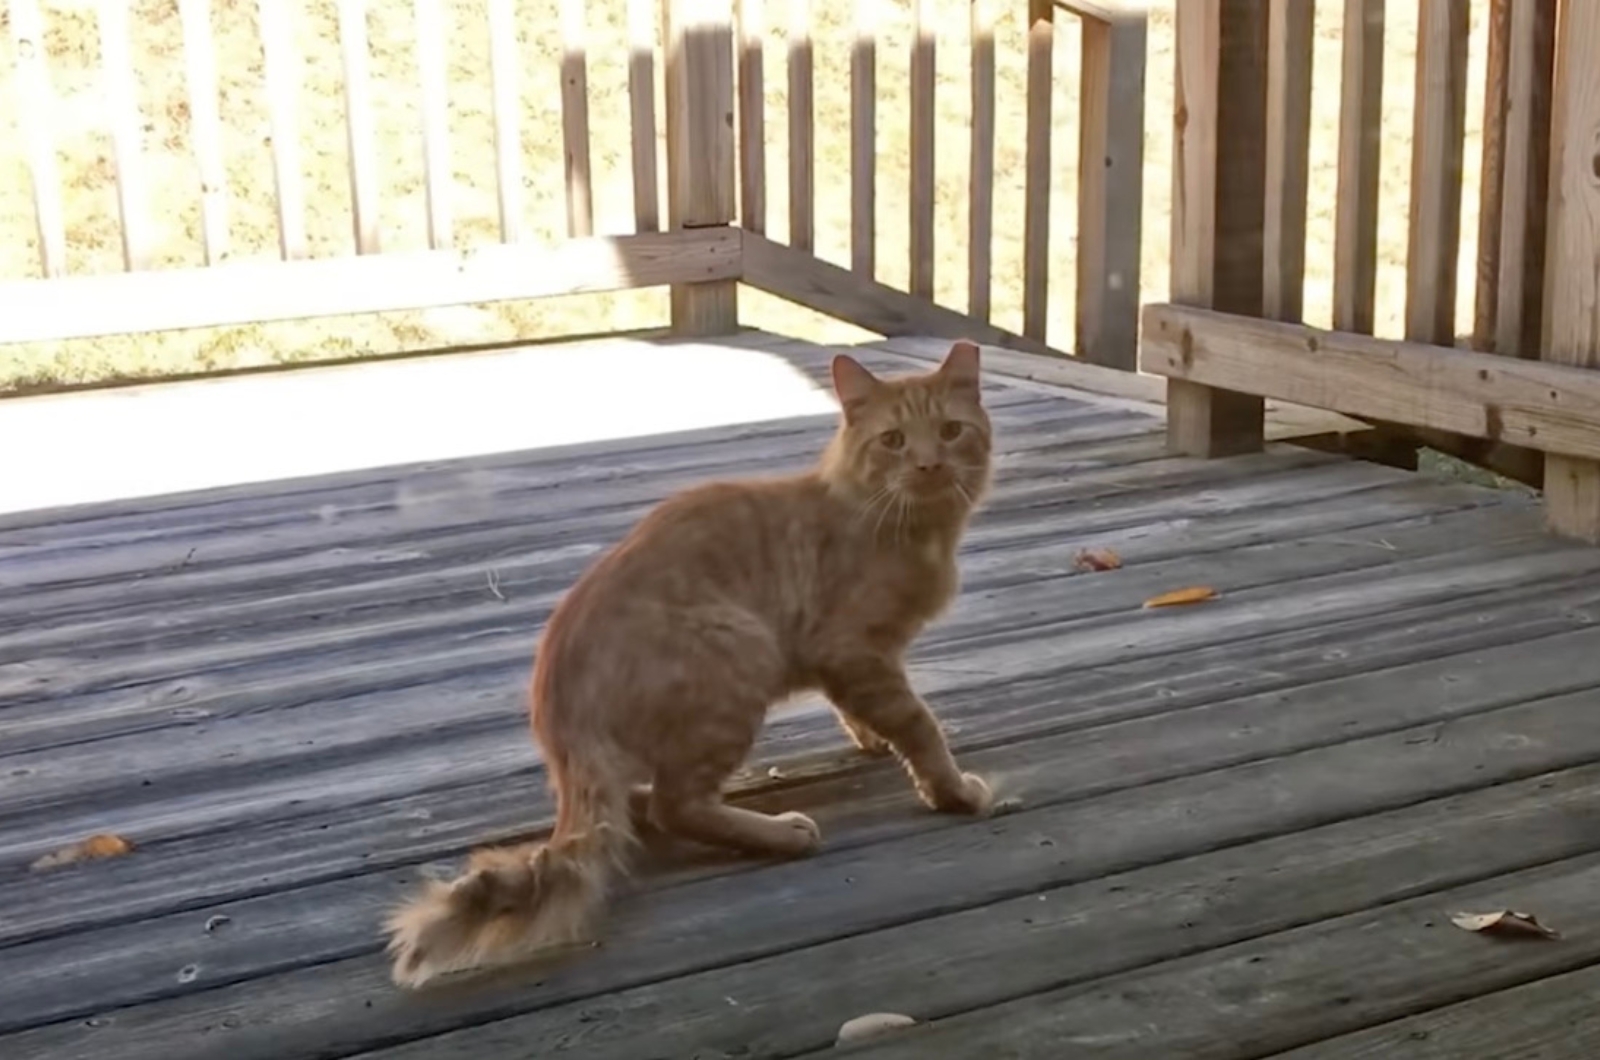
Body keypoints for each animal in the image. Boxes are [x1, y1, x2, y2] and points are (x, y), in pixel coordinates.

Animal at [382, 341, 992, 986]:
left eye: (950, 432)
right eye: (894, 440)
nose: (929, 466)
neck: (913, 530)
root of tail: (562, 725)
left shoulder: (852, 661)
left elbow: (862, 711)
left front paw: (872, 738)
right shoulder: (853, 649)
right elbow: (919, 725)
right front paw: (952, 790)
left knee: (645, 804)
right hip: (740, 653)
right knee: (678, 806)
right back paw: (784, 834)